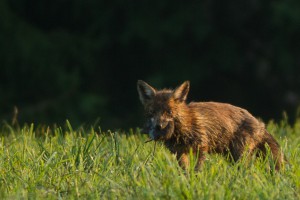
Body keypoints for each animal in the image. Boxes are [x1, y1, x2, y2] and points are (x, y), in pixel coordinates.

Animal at [137, 79, 284, 170]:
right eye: (152, 113)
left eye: (169, 112)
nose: (159, 127)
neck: (184, 127)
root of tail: (260, 124)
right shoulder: (179, 152)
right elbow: (184, 171)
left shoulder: (201, 148)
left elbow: (197, 169)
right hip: (230, 155)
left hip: (239, 153)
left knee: (246, 169)